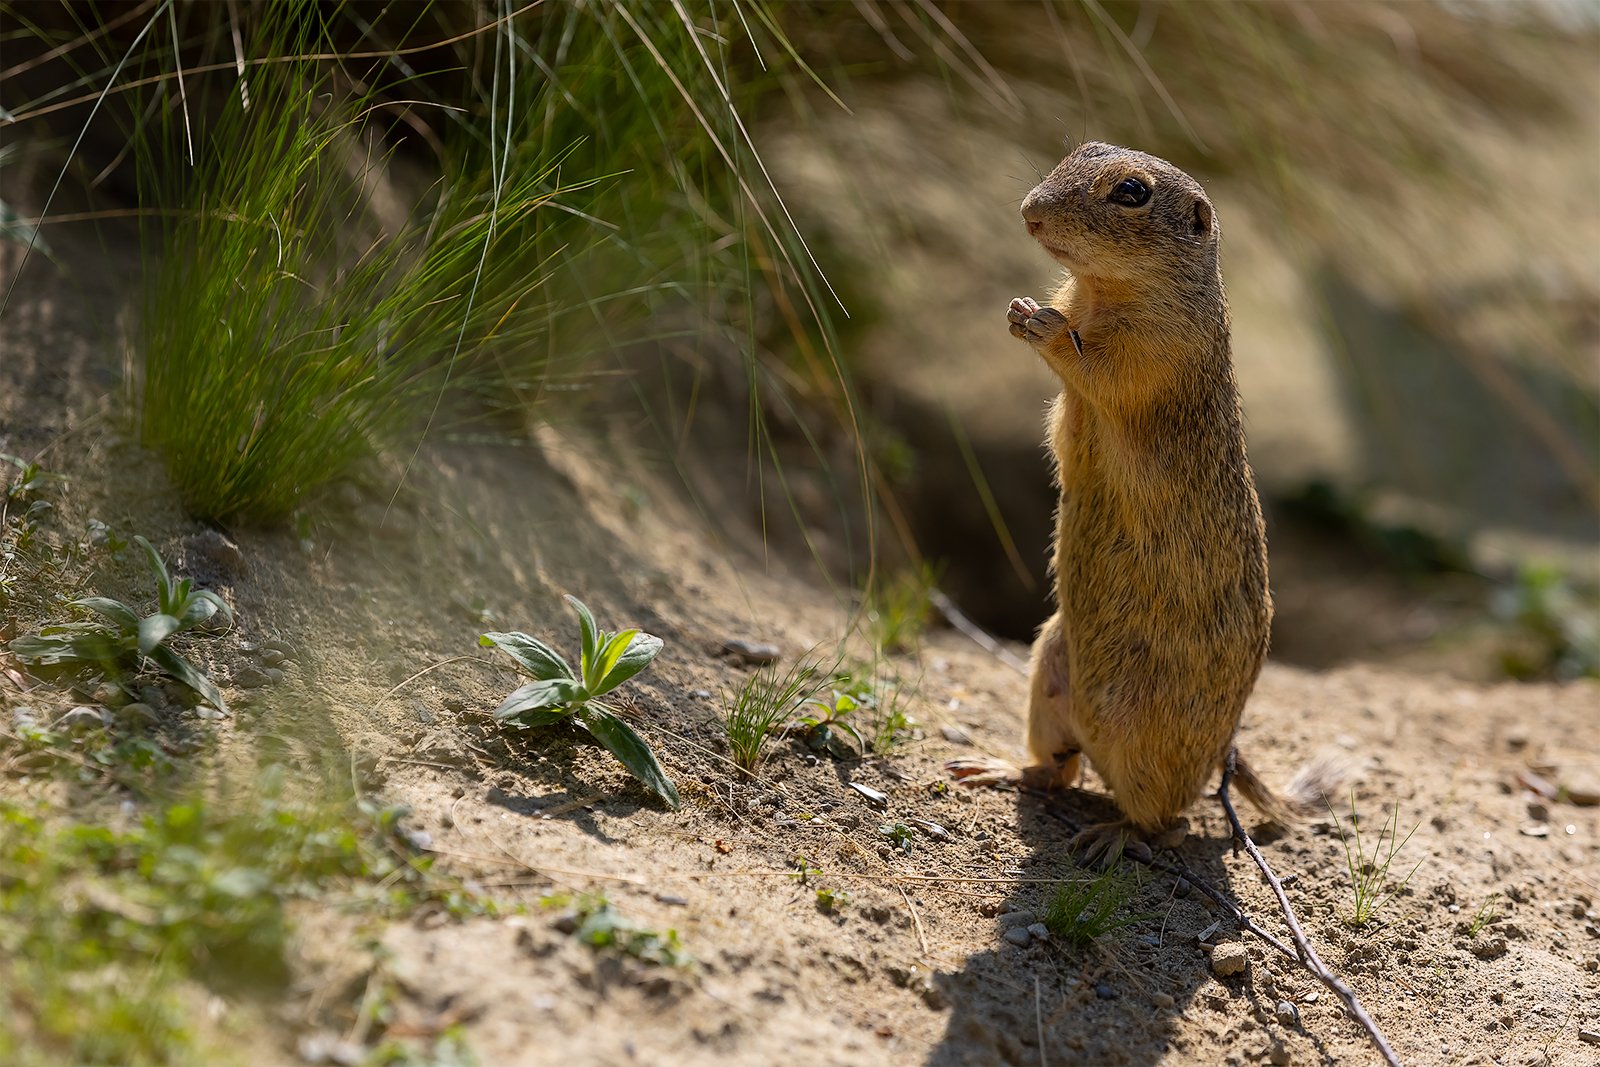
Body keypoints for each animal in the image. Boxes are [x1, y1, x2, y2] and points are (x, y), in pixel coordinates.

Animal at [947, 141, 1337, 857]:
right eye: (1076, 150)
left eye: (1131, 192)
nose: (1029, 211)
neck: (1101, 293)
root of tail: (1223, 752)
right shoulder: (1075, 403)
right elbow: (1065, 431)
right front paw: (1022, 311)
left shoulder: (1150, 354)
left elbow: (1097, 369)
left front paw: (1041, 325)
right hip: (1047, 674)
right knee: (1058, 770)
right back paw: (995, 767)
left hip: (1144, 742)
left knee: (1166, 821)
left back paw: (1113, 836)